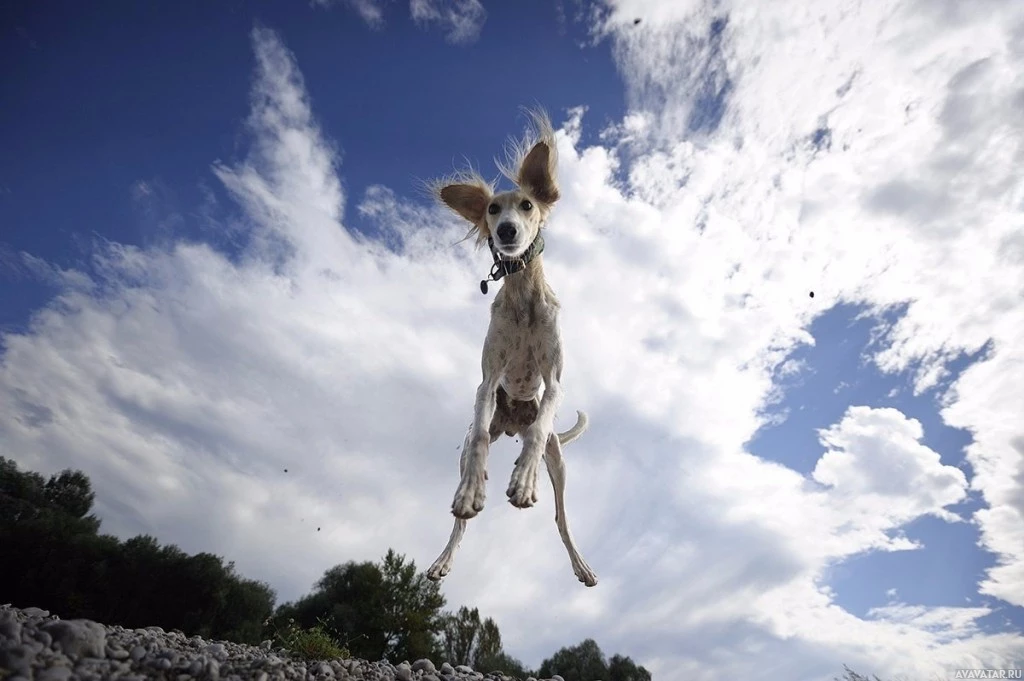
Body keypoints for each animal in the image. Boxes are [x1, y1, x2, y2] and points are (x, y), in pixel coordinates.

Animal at [425, 110, 598, 585]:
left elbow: (538, 433)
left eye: (527, 205)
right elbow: (481, 437)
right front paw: (471, 494)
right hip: (476, 434)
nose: (505, 230)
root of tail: (515, 418)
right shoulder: (486, 383)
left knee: (560, 515)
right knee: (460, 516)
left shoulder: (554, 383)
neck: (522, 296)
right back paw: (445, 554)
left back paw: (579, 560)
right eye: (491, 209)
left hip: (559, 461)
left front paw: (522, 483)